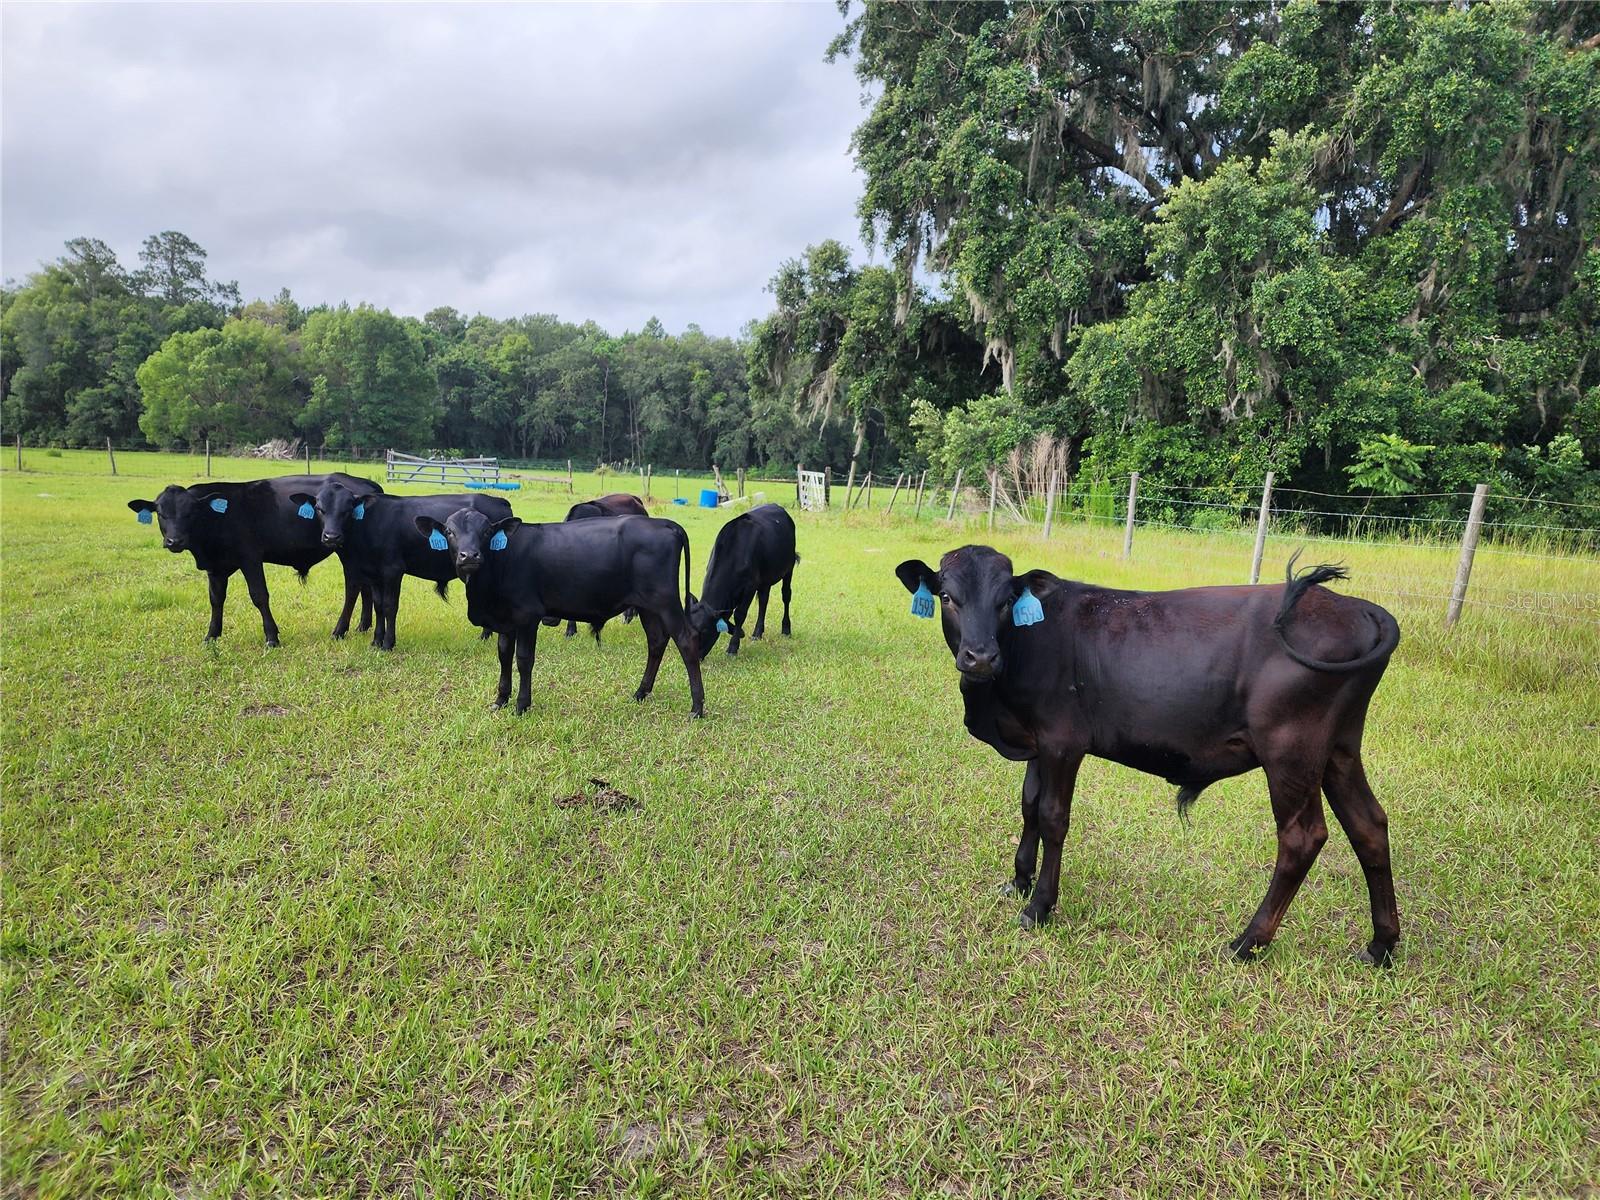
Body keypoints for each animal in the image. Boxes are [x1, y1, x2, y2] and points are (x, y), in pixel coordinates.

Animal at [127, 473, 383, 646]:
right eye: (161, 513)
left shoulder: (250, 558)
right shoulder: (215, 568)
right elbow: (215, 599)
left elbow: (259, 596)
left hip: (345, 550)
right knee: (365, 587)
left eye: (190, 513)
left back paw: (341, 629)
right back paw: (363, 625)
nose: (174, 541)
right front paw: (212, 635)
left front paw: (271, 637)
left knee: (353, 587)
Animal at [288, 479, 513, 650]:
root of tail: (499, 500)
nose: (331, 536)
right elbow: (378, 605)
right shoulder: (373, 574)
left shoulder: (393, 570)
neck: (368, 525)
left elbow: (389, 606)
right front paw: (376, 641)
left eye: (348, 509)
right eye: (319, 509)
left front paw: (388, 643)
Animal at [415, 509, 706, 717]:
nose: (469, 556)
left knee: (686, 640)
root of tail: (664, 523)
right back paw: (640, 693)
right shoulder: (506, 620)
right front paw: (500, 699)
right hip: (648, 607)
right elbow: (504, 656)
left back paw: (697, 707)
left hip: (665, 601)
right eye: (449, 531)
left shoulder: (528, 616)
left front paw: (521, 705)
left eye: (486, 531)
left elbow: (523, 660)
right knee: (657, 641)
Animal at [687, 503, 797, 658]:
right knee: (763, 601)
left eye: (704, 631)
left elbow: (739, 615)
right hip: (765, 580)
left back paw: (786, 629)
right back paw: (757, 633)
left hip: (789, 568)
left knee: (786, 595)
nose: (692, 657)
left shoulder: (749, 587)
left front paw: (733, 647)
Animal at [895, 546, 1402, 966]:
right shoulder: (1038, 740)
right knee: (1369, 825)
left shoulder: (1063, 740)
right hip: (1337, 749)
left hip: (1290, 751)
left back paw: (1247, 942)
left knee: (1302, 837)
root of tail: (1356, 606)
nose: (980, 657)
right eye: (947, 596)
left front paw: (1039, 905)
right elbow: (1029, 805)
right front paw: (1018, 881)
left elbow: (1054, 816)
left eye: (1004, 601)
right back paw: (1381, 945)